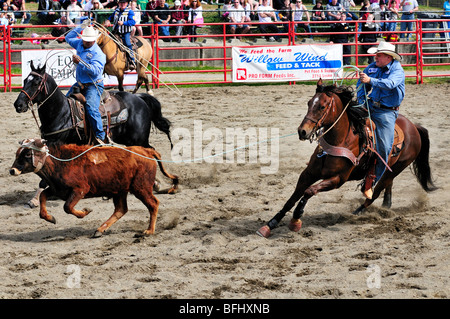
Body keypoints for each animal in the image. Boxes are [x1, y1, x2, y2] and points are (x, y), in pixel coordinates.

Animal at [8, 139, 178, 238]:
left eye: (27, 155)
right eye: (17, 154)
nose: (12, 170)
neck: (61, 163)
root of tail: (146, 151)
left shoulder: (80, 189)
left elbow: (67, 207)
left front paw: (85, 212)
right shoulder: (57, 190)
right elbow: (43, 196)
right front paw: (50, 218)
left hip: (140, 188)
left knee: (153, 204)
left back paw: (149, 231)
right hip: (120, 190)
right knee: (121, 209)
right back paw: (100, 230)